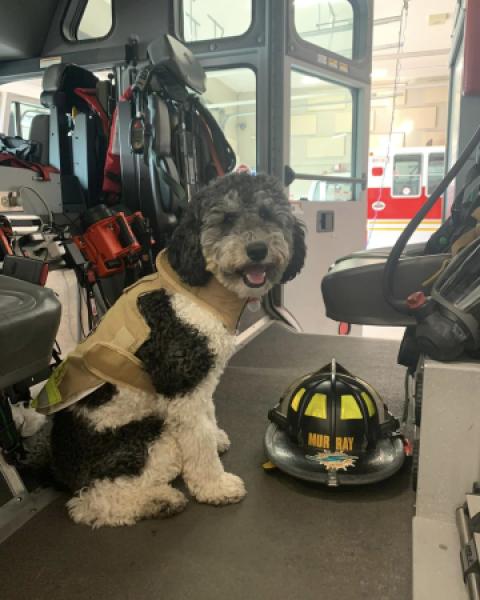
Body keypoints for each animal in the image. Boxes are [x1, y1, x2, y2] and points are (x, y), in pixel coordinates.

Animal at [50, 172, 306, 524]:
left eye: (268, 214)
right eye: (226, 219)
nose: (257, 249)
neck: (202, 289)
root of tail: (58, 467)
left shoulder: (204, 377)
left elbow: (208, 417)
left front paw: (216, 437)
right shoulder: (182, 385)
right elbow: (198, 440)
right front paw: (215, 486)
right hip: (148, 438)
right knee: (91, 501)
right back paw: (158, 500)